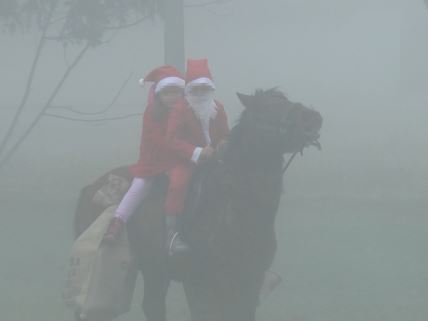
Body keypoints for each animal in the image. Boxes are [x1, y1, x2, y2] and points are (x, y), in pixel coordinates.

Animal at [73, 87, 322, 320]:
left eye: (285, 101)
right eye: (268, 108)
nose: (312, 118)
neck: (233, 209)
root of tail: (90, 188)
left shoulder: (248, 283)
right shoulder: (207, 284)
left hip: (156, 271)